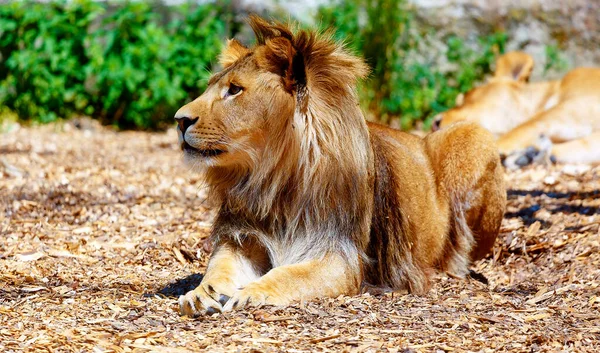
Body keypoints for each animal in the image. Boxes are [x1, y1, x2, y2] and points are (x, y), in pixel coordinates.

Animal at [175, 15, 506, 316]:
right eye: (211, 87)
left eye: (234, 90)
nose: (179, 120)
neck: (273, 179)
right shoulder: (243, 236)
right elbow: (219, 267)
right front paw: (201, 293)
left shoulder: (341, 254)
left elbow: (290, 274)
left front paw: (251, 293)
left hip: (472, 134)